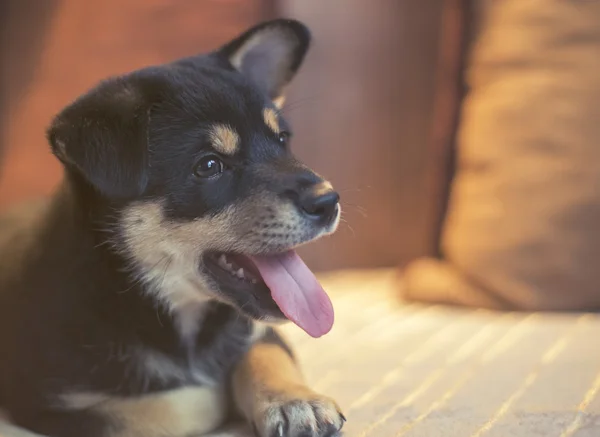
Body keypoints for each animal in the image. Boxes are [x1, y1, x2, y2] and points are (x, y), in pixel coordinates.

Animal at [0, 18, 344, 434]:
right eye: (209, 166)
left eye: (282, 140)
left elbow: (262, 353)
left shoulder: (260, 331)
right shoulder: (53, 403)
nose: (328, 201)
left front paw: (295, 401)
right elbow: (178, 406)